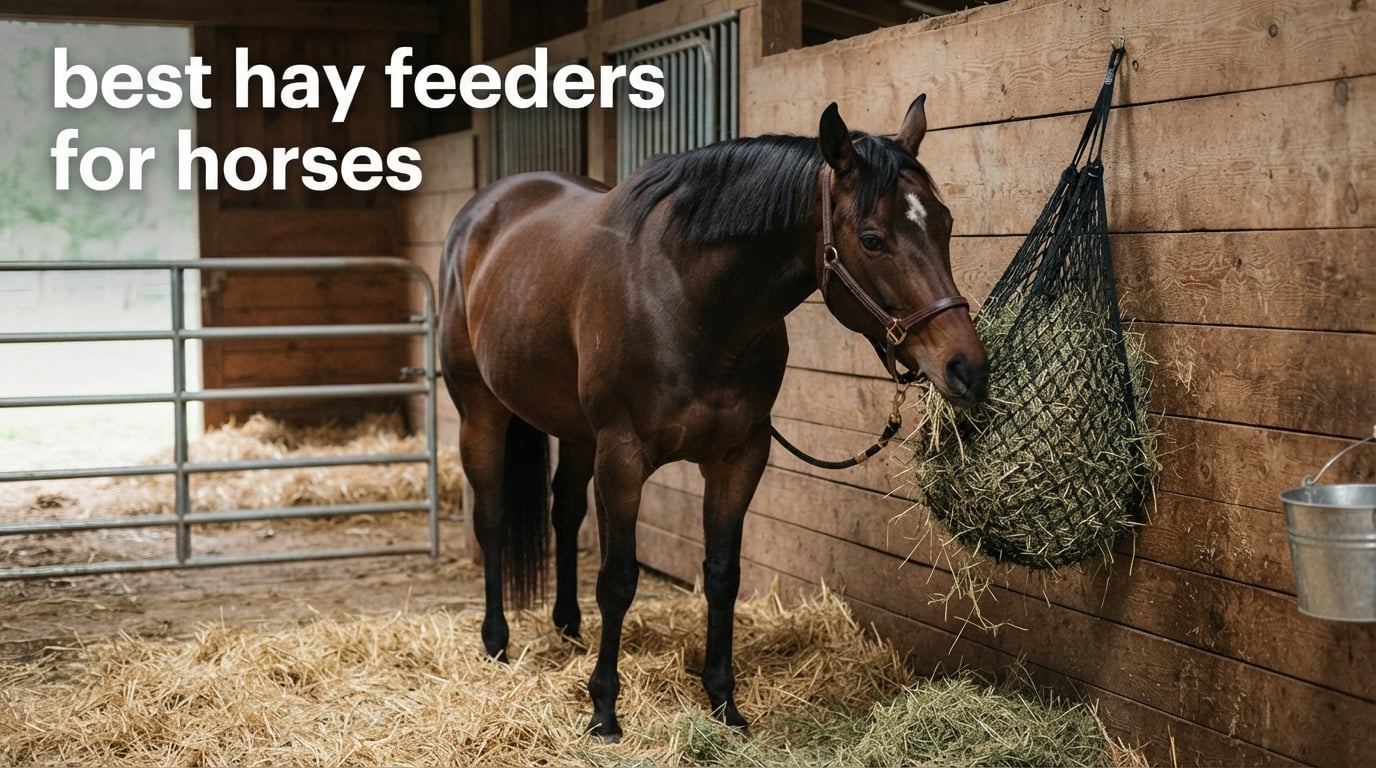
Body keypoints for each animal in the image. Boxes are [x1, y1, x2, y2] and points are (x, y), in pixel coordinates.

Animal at [438, 94, 988, 741]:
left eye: (945, 223)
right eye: (874, 240)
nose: (966, 368)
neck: (690, 302)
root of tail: (486, 209)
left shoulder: (739, 457)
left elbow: (723, 575)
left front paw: (724, 701)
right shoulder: (622, 458)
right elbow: (619, 579)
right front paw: (604, 711)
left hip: (574, 432)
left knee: (564, 513)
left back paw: (568, 627)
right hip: (481, 411)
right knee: (493, 517)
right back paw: (496, 641)